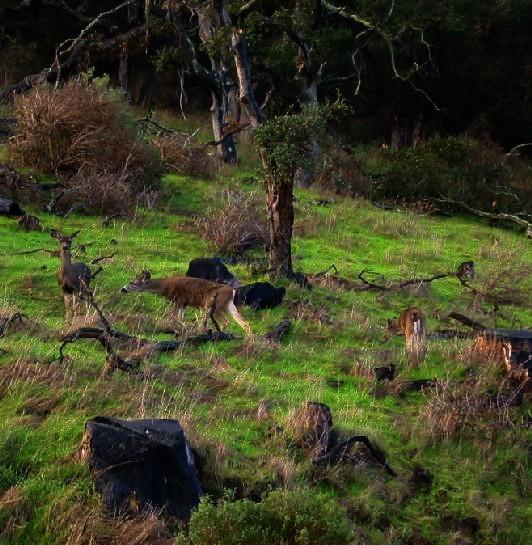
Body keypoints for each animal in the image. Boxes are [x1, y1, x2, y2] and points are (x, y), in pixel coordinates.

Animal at [121, 268, 252, 334]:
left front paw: (186, 328)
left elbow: (175, 317)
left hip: (214, 305)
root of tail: (232, 291)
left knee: (225, 322)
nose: (123, 289)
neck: (165, 287)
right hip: (228, 306)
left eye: (134, 283)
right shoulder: (184, 303)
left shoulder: (179, 299)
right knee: (244, 322)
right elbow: (179, 317)